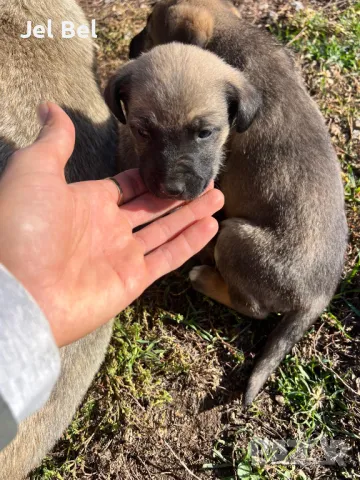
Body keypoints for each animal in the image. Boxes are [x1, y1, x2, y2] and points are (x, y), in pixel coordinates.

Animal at [106, 0, 346, 404]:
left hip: (235, 236)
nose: (129, 48)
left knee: (254, 308)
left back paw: (204, 278)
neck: (236, 35)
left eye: (150, 26)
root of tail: (318, 296)